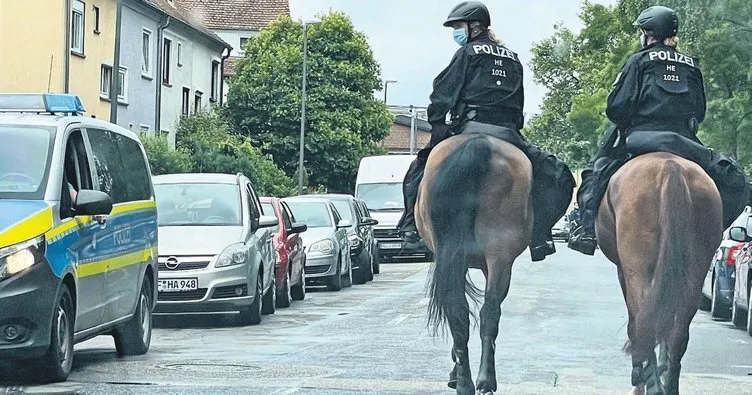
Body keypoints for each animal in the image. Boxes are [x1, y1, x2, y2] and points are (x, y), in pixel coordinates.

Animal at [414, 134, 532, 395]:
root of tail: (478, 142)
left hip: (490, 256)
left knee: (466, 311)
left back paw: (470, 381)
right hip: (499, 257)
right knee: (483, 311)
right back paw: (480, 381)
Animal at [592, 152, 724, 395]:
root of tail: (671, 167)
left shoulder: (624, 271)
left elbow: (635, 321)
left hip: (638, 270)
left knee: (643, 321)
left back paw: (648, 381)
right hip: (695, 272)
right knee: (678, 331)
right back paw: (668, 384)